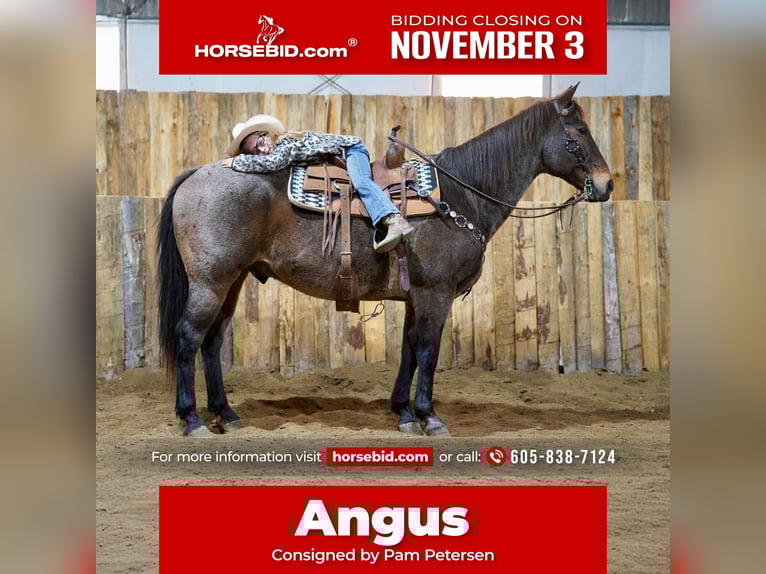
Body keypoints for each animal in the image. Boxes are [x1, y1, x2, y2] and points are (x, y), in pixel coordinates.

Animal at [157, 83, 613, 437]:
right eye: (579, 130)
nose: (607, 184)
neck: (459, 195)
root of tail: (197, 173)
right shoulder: (435, 294)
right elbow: (428, 351)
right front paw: (430, 417)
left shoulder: (417, 297)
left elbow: (409, 350)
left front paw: (405, 412)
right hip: (211, 282)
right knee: (188, 337)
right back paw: (192, 419)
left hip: (232, 281)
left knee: (212, 341)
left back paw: (226, 414)